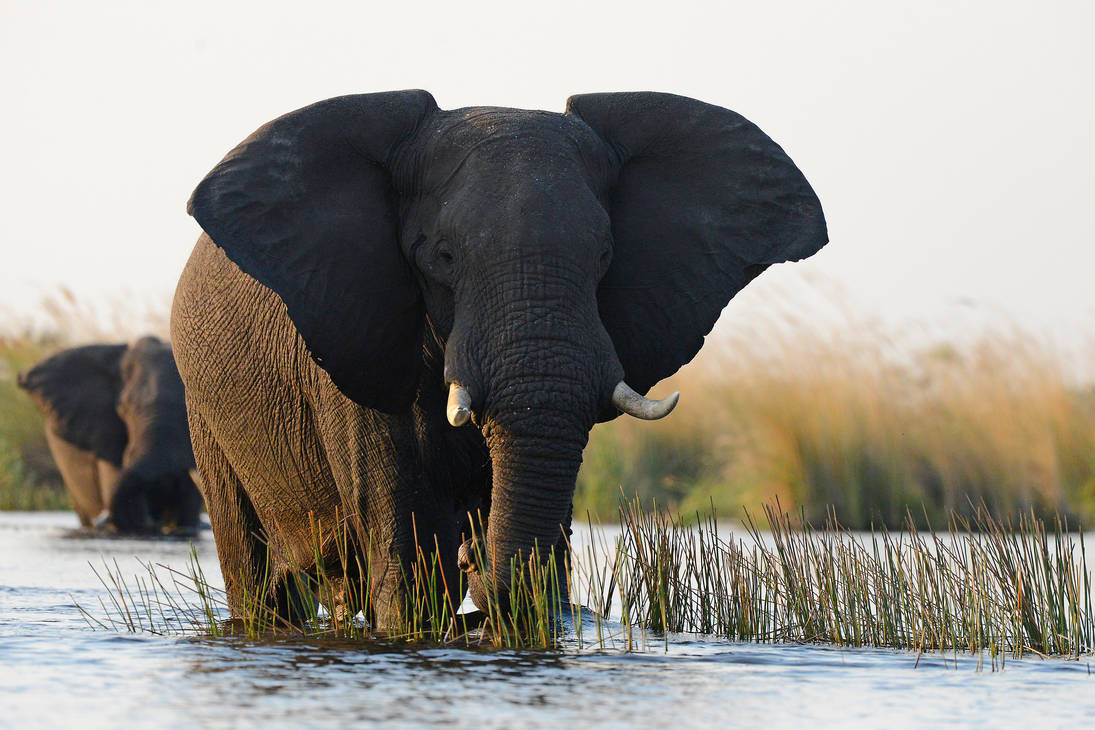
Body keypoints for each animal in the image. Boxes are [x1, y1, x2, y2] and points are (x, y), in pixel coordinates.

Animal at [168, 89, 823, 630]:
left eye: (605, 254)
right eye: (443, 257)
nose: (474, 558)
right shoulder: (359, 336)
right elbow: (409, 553)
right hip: (203, 407)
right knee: (255, 572)